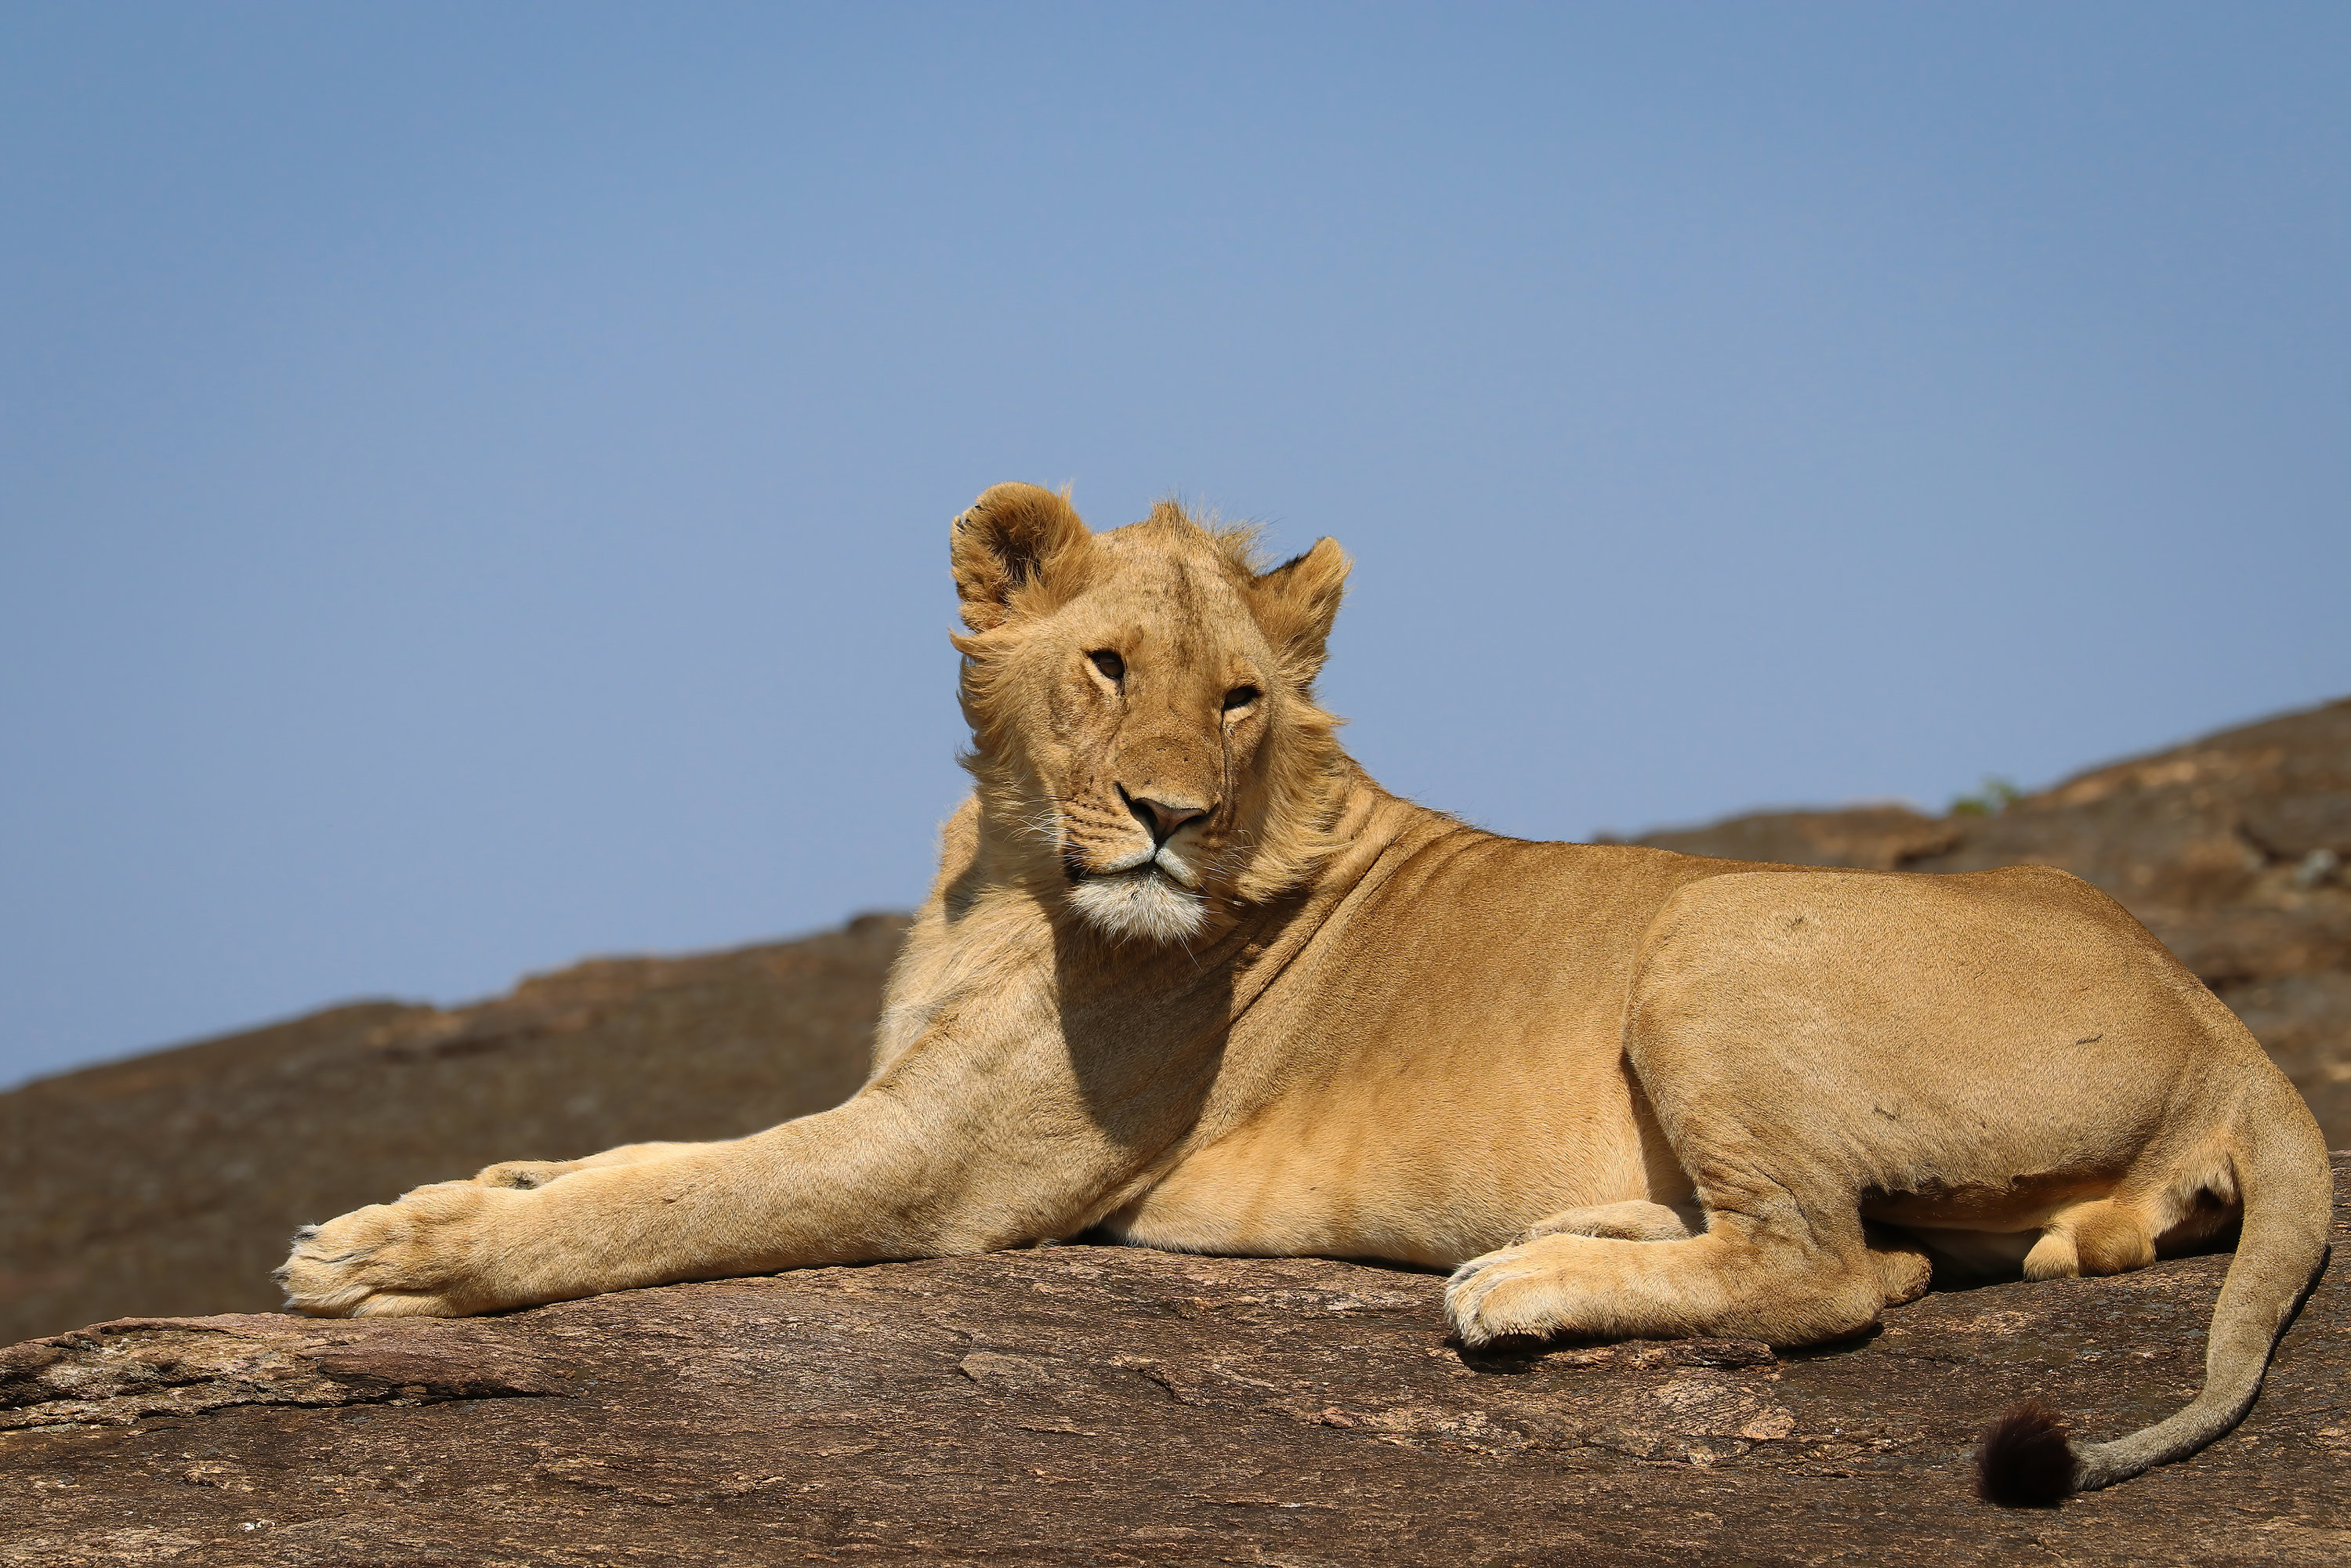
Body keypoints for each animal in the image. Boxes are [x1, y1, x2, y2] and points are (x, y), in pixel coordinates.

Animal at [281, 483, 2331, 1503]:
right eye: (1108, 666)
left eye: (1244, 696)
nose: (1171, 818)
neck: (1003, 870)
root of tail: (2226, 1014)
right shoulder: (886, 1106)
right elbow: (628, 1159)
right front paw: (437, 1197)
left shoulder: (932, 1173)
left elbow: (658, 1200)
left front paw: (400, 1262)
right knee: (1884, 1250)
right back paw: (1577, 1228)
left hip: (1715, 926)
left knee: (1836, 1269)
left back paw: (1521, 1285)